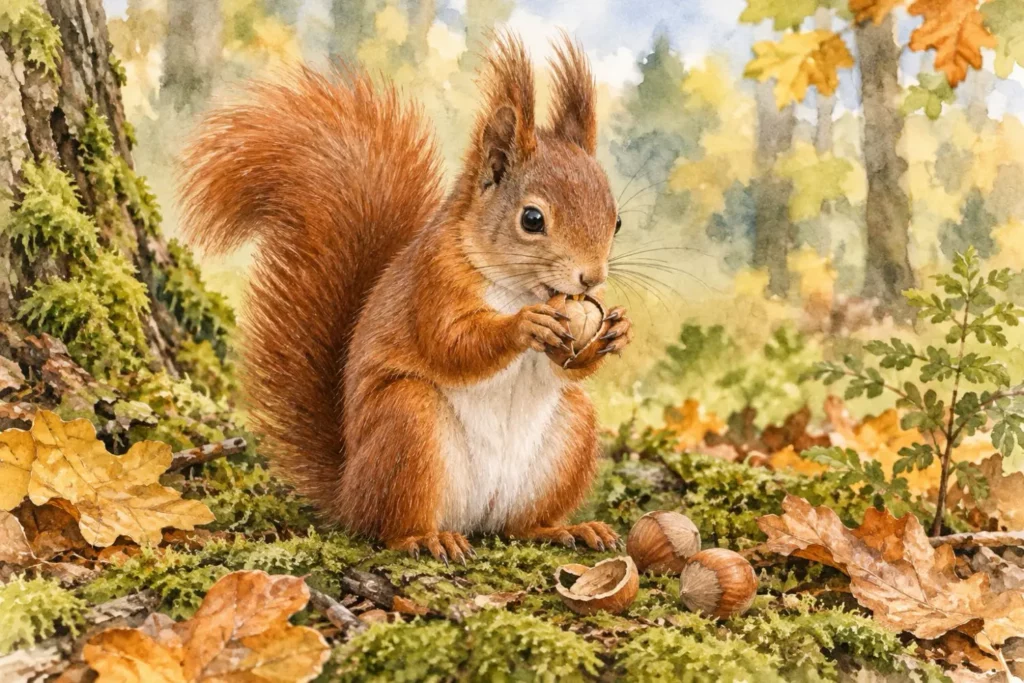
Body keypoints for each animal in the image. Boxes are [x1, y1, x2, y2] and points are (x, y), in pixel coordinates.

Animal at [179, 33, 633, 562]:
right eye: (532, 219)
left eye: (616, 220)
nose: (591, 278)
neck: (516, 287)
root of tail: (349, 491)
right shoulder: (432, 281)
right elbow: (450, 344)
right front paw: (524, 325)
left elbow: (567, 367)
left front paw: (616, 331)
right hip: (406, 423)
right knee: (387, 525)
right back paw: (424, 537)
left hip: (571, 433)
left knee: (519, 526)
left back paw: (563, 529)